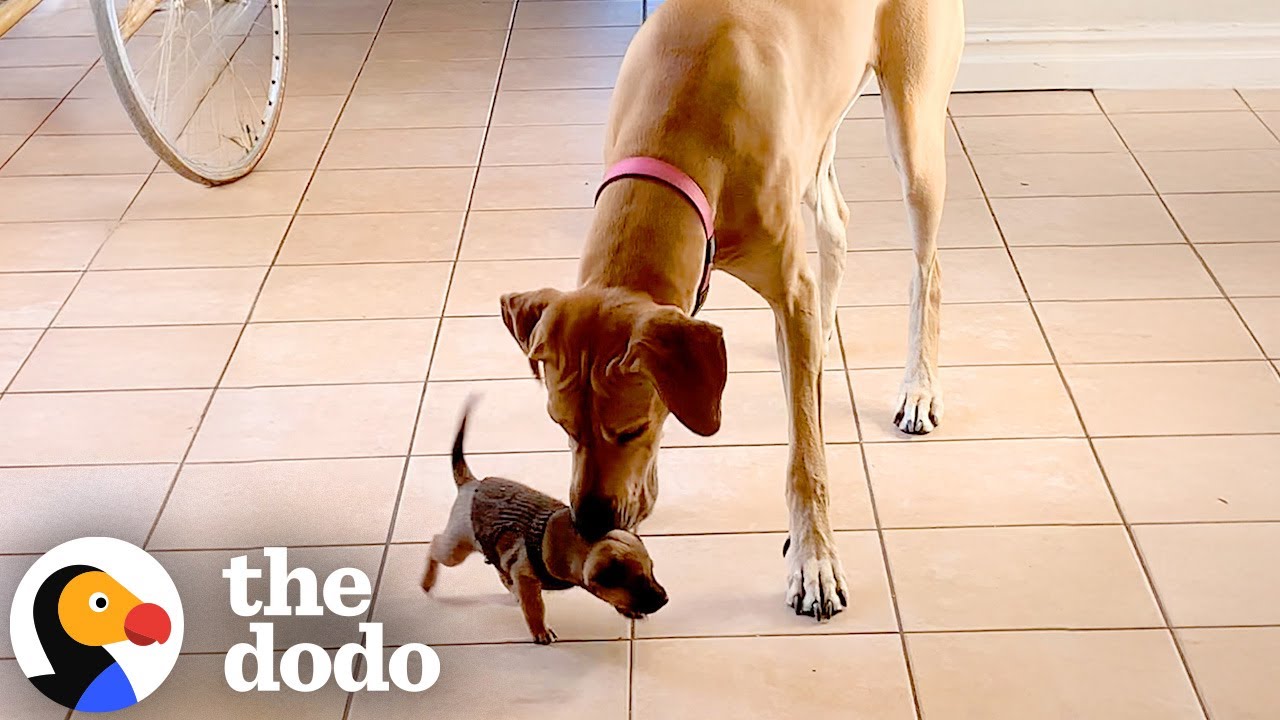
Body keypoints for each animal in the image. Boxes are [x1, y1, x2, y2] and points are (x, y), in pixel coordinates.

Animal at [424, 397, 675, 645]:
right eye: (638, 582)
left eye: (651, 572)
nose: (665, 599)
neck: (579, 542)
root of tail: (471, 483)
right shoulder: (525, 575)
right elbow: (535, 607)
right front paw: (540, 631)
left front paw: (628, 609)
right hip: (456, 547)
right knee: (436, 544)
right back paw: (427, 581)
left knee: (500, 568)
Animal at [499, 0, 962, 617]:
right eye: (560, 424)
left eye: (630, 428)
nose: (590, 522)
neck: (676, 144)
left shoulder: (789, 290)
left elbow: (805, 455)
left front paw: (814, 561)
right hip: (816, 138)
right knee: (836, 221)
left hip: (914, 132)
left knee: (927, 267)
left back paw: (919, 388)